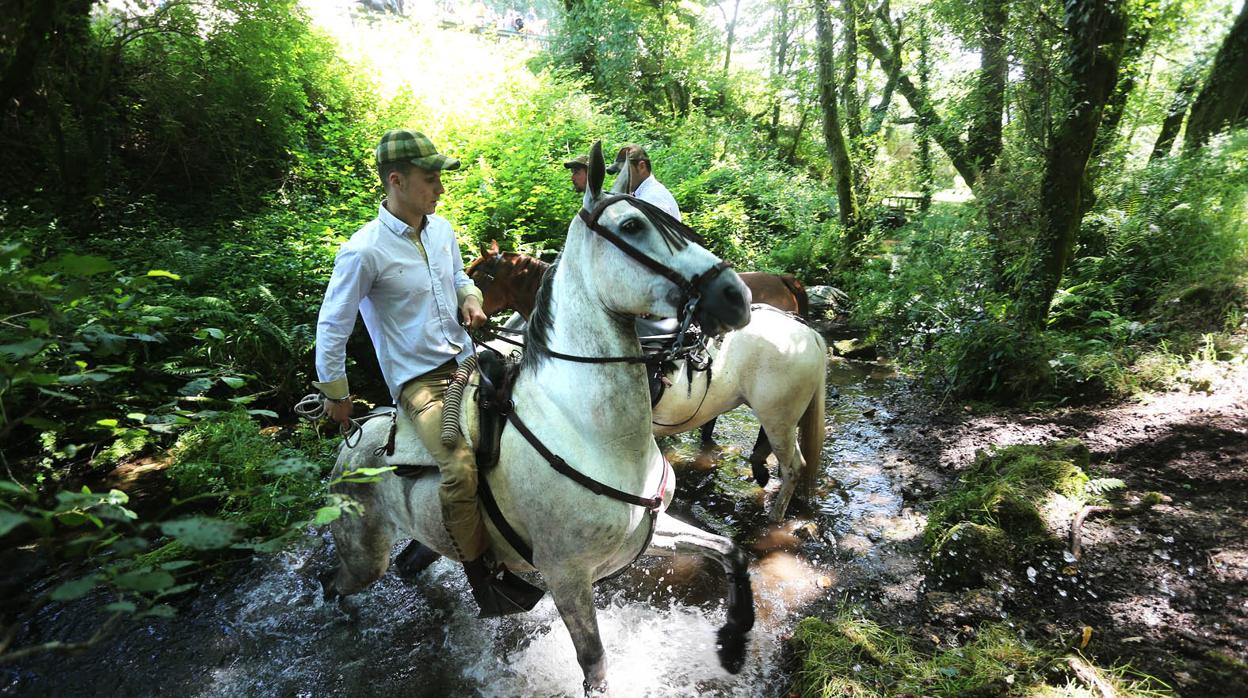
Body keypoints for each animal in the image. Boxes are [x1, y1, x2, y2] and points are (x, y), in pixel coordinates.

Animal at [321, 142, 753, 694]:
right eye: (633, 226)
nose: (735, 294)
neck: (590, 434)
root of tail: (350, 441)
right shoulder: (567, 576)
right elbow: (595, 665)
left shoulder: (648, 537)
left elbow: (730, 550)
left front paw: (734, 644)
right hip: (363, 554)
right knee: (335, 581)